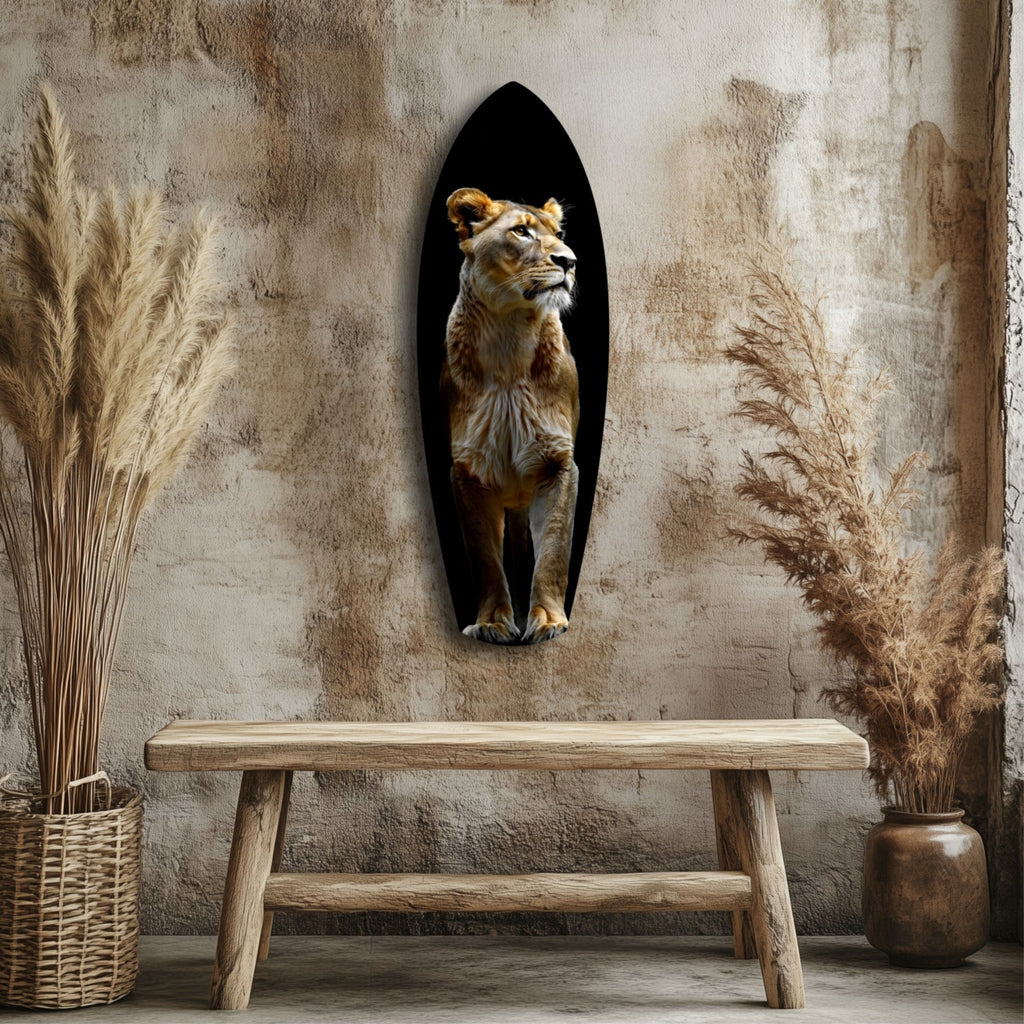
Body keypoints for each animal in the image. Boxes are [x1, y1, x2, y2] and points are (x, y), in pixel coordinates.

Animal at [440, 187, 580, 645]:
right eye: (521, 232)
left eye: (559, 235)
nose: (570, 262)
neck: (510, 338)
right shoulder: (467, 471)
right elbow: (484, 557)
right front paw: (492, 622)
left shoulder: (558, 464)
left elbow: (553, 549)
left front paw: (549, 620)